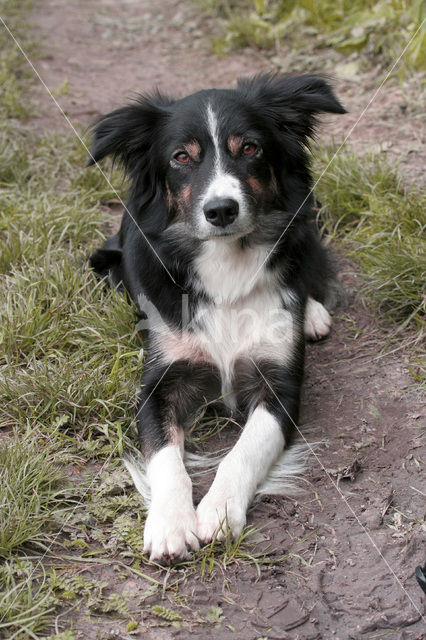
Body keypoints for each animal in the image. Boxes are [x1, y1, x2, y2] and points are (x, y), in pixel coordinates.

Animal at [88, 75, 344, 564]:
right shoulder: (160, 382)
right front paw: (170, 524)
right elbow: (164, 456)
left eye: (250, 148)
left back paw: (313, 313)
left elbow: (243, 451)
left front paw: (219, 511)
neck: (227, 262)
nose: (221, 209)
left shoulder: (280, 384)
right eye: (181, 157)